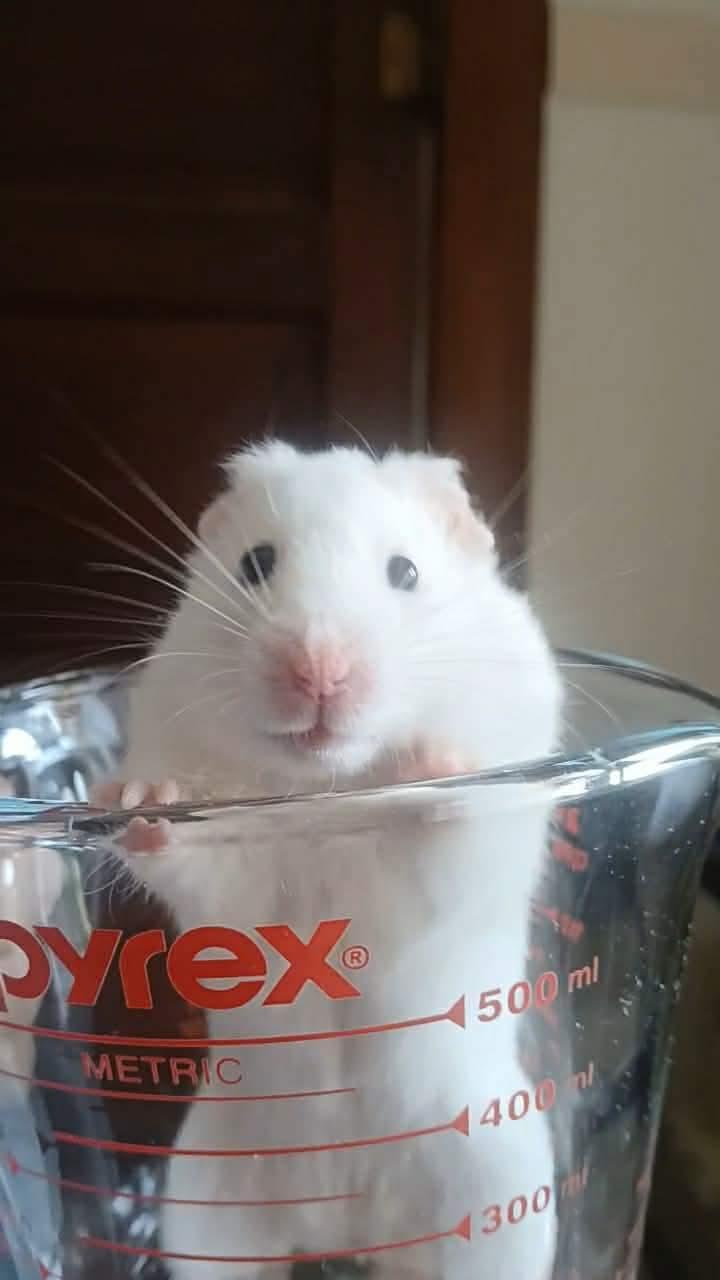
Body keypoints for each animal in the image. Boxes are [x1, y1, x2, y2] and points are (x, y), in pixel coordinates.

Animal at [93, 442, 563, 1280]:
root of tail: (346, 1225)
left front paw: (434, 764)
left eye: (405, 572)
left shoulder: (471, 844)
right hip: (205, 1201)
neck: (327, 787)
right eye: (257, 563)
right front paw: (145, 798)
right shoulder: (236, 878)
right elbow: (191, 850)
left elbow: (449, 829)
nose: (316, 673)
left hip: (496, 1199)